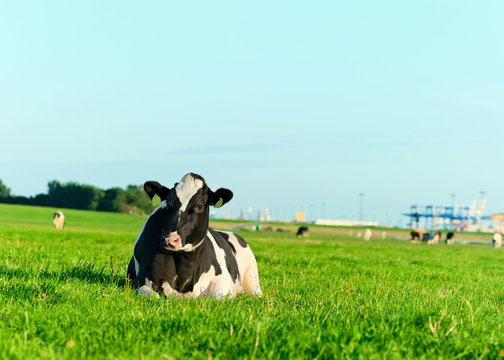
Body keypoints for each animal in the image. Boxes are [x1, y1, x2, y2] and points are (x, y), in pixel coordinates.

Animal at [126, 173, 262, 300]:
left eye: (199, 206)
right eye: (168, 205)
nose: (170, 239)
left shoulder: (223, 282)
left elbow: (217, 297)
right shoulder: (143, 281)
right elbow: (151, 295)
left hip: (253, 280)